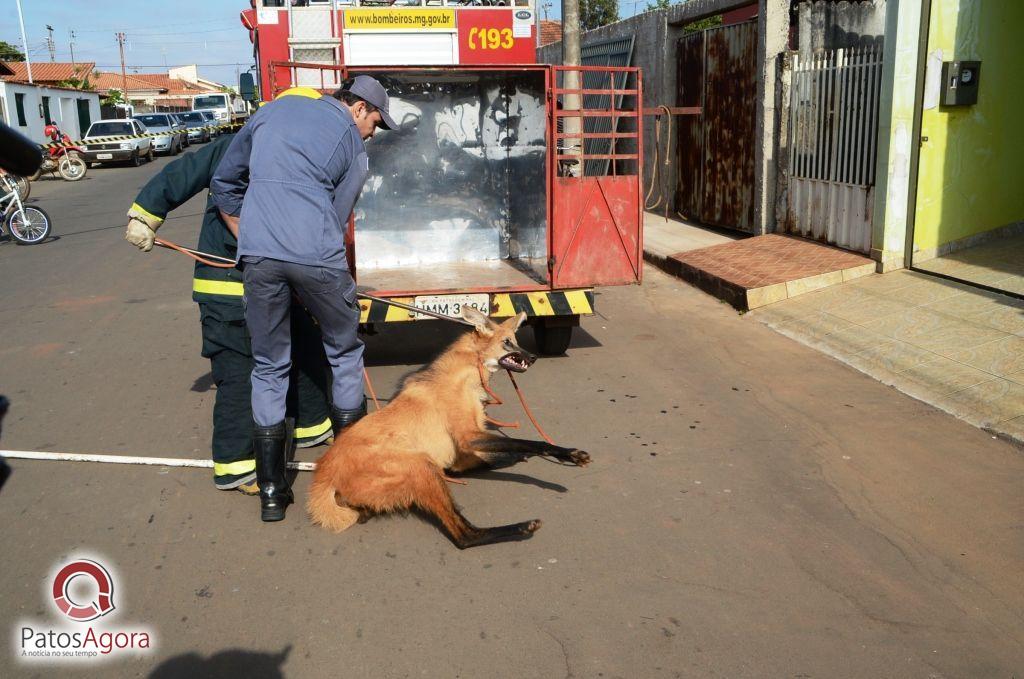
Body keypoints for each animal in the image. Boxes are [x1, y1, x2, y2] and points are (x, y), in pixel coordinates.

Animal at [305, 307, 593, 548]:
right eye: (508, 342)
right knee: (464, 536)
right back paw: (521, 527)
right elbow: (529, 442)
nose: (532, 357)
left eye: (516, 340)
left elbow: (500, 454)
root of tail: (325, 473)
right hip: (420, 467)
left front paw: (518, 457)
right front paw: (568, 454)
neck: (470, 371)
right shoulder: (468, 438)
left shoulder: (461, 453)